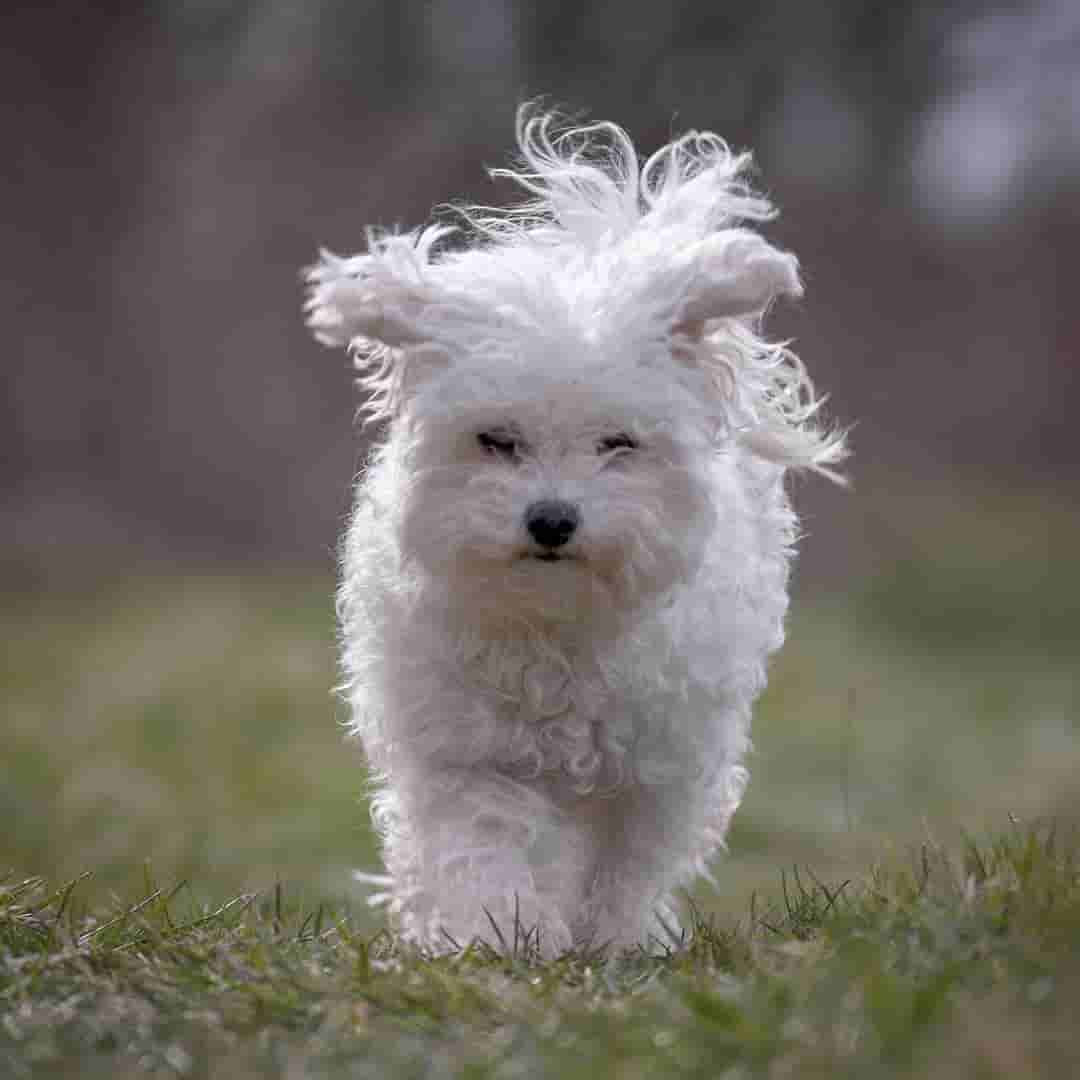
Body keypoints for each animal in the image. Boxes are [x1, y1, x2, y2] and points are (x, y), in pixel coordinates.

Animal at [304, 109, 842, 954]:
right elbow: (482, 845)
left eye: (617, 443)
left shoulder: (659, 766)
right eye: (497, 440)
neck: (556, 625)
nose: (552, 519)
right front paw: (500, 934)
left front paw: (615, 941)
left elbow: (627, 864)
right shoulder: (467, 754)